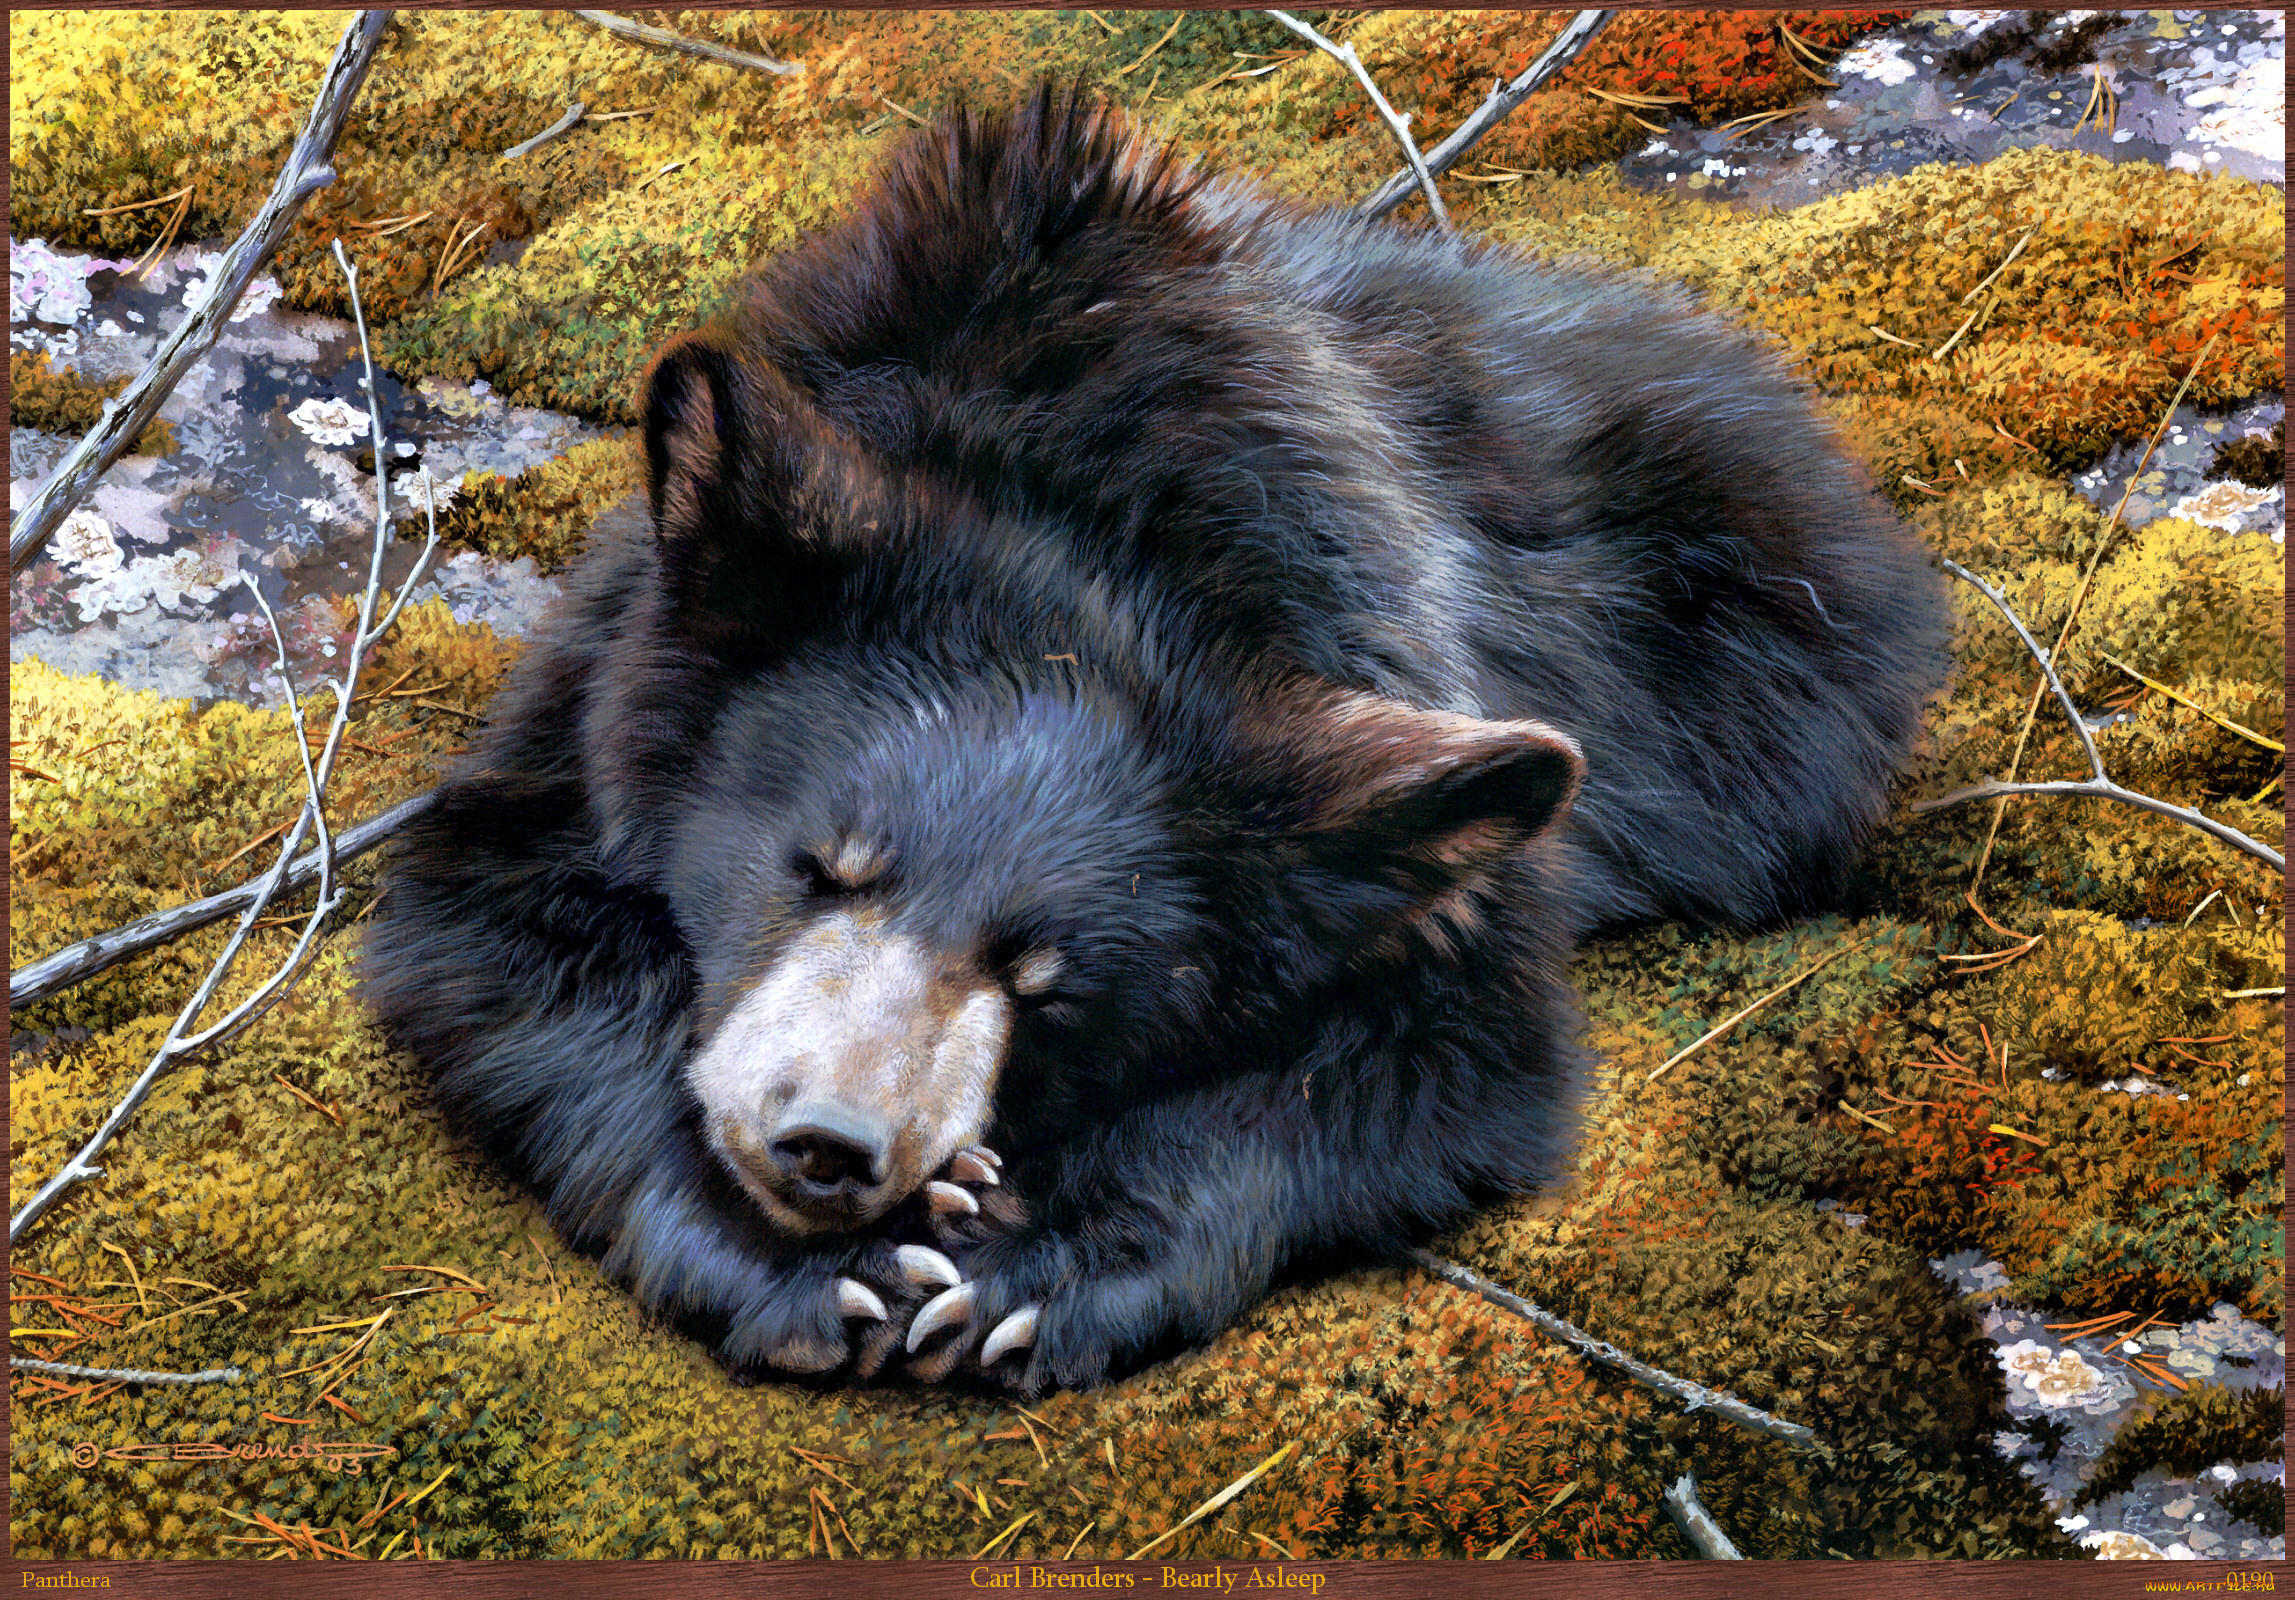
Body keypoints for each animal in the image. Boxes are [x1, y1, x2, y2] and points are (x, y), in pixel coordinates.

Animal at [359, 87, 1947, 1396]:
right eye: (818, 865)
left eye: (1045, 982)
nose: (829, 1145)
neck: (1091, 521)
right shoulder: (591, 690)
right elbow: (493, 943)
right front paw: (820, 1271)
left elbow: (1446, 1057)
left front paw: (1031, 1261)